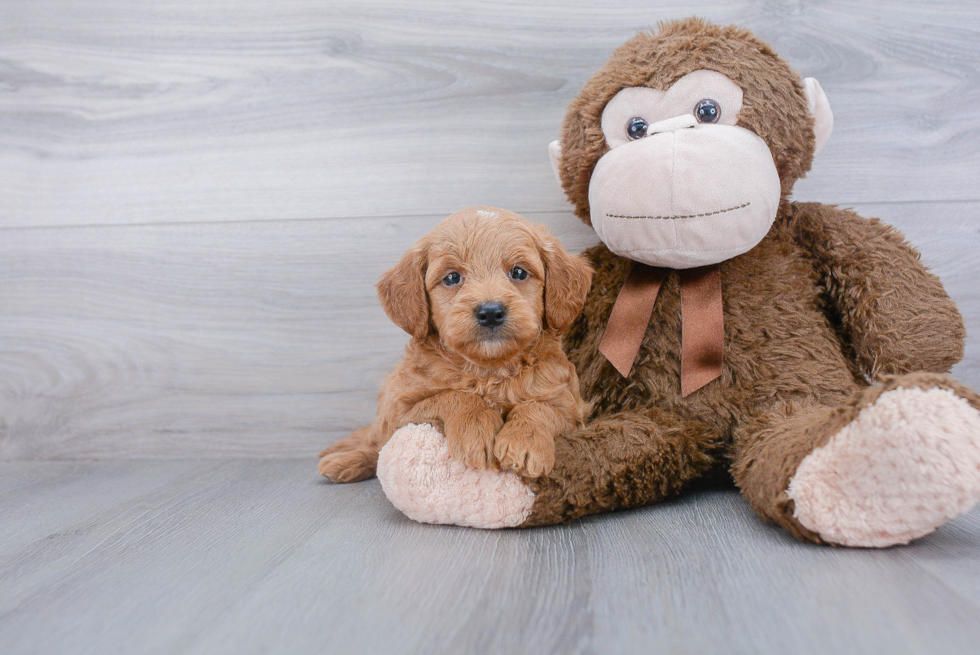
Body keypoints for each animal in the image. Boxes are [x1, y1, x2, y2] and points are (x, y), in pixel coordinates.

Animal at [320, 208, 588, 484]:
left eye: (519, 273)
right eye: (452, 277)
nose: (490, 312)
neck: (488, 370)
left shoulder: (572, 408)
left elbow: (541, 407)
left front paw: (526, 442)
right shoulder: (400, 410)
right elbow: (454, 396)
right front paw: (476, 430)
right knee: (373, 444)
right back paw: (342, 460)